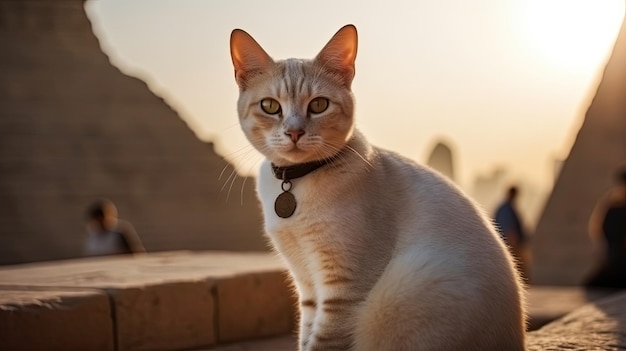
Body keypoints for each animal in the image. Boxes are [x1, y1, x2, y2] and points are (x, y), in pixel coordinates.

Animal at [228, 24, 520, 351]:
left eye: (318, 105)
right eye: (270, 106)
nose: (294, 132)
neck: (296, 181)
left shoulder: (344, 288)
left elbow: (321, 342)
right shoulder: (307, 282)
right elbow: (306, 336)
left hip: (411, 285)